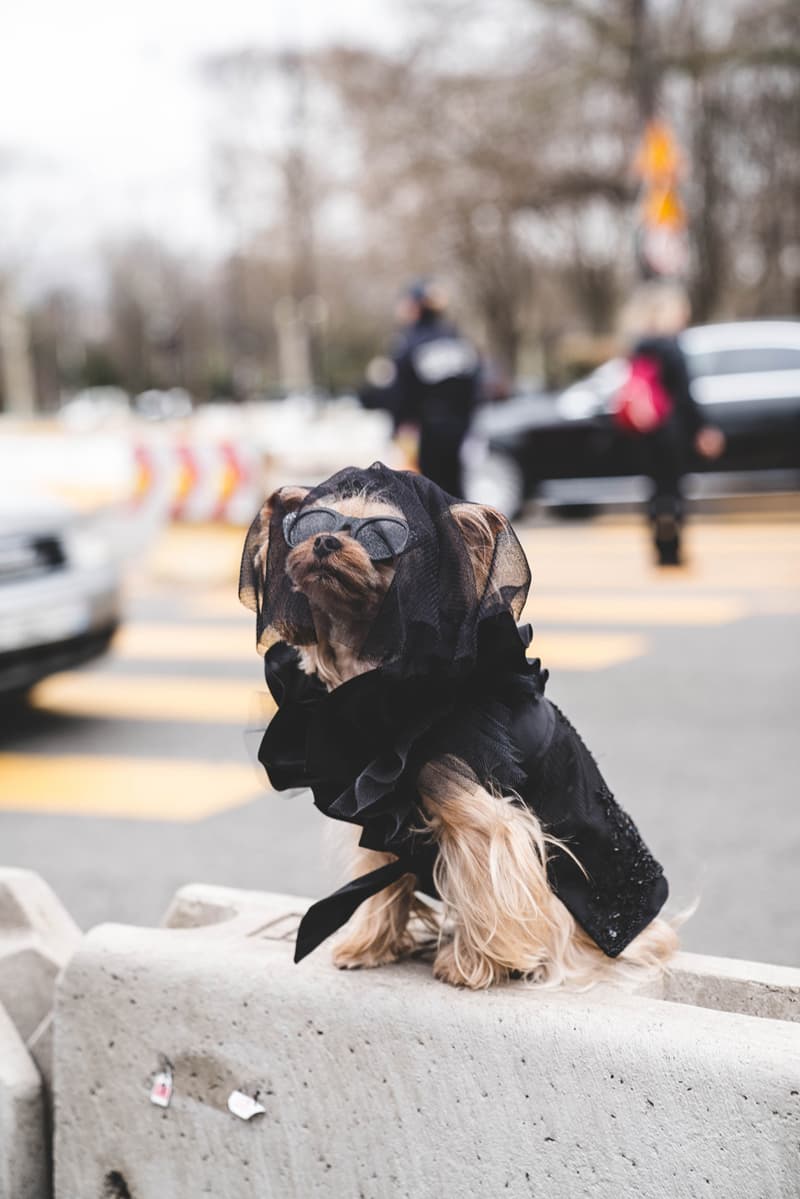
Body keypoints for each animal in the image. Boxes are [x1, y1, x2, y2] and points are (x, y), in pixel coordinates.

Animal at [241, 462, 681, 987]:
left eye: (382, 538)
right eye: (313, 526)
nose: (326, 542)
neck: (376, 680)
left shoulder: (481, 816)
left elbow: (485, 881)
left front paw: (472, 967)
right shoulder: (379, 816)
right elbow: (380, 879)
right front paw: (369, 946)